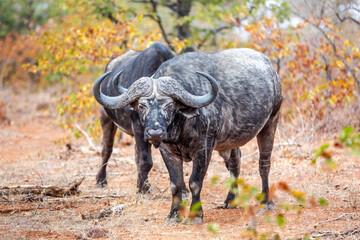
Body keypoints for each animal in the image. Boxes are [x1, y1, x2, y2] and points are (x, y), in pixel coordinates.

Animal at [93, 47, 284, 224]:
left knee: (264, 163)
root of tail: (272, 71)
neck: (181, 127)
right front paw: (173, 214)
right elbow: (175, 184)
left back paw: (266, 201)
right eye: (141, 106)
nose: (155, 132)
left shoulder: (204, 149)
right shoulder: (167, 151)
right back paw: (230, 200)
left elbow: (195, 182)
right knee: (235, 162)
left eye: (169, 105)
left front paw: (196, 215)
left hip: (271, 122)